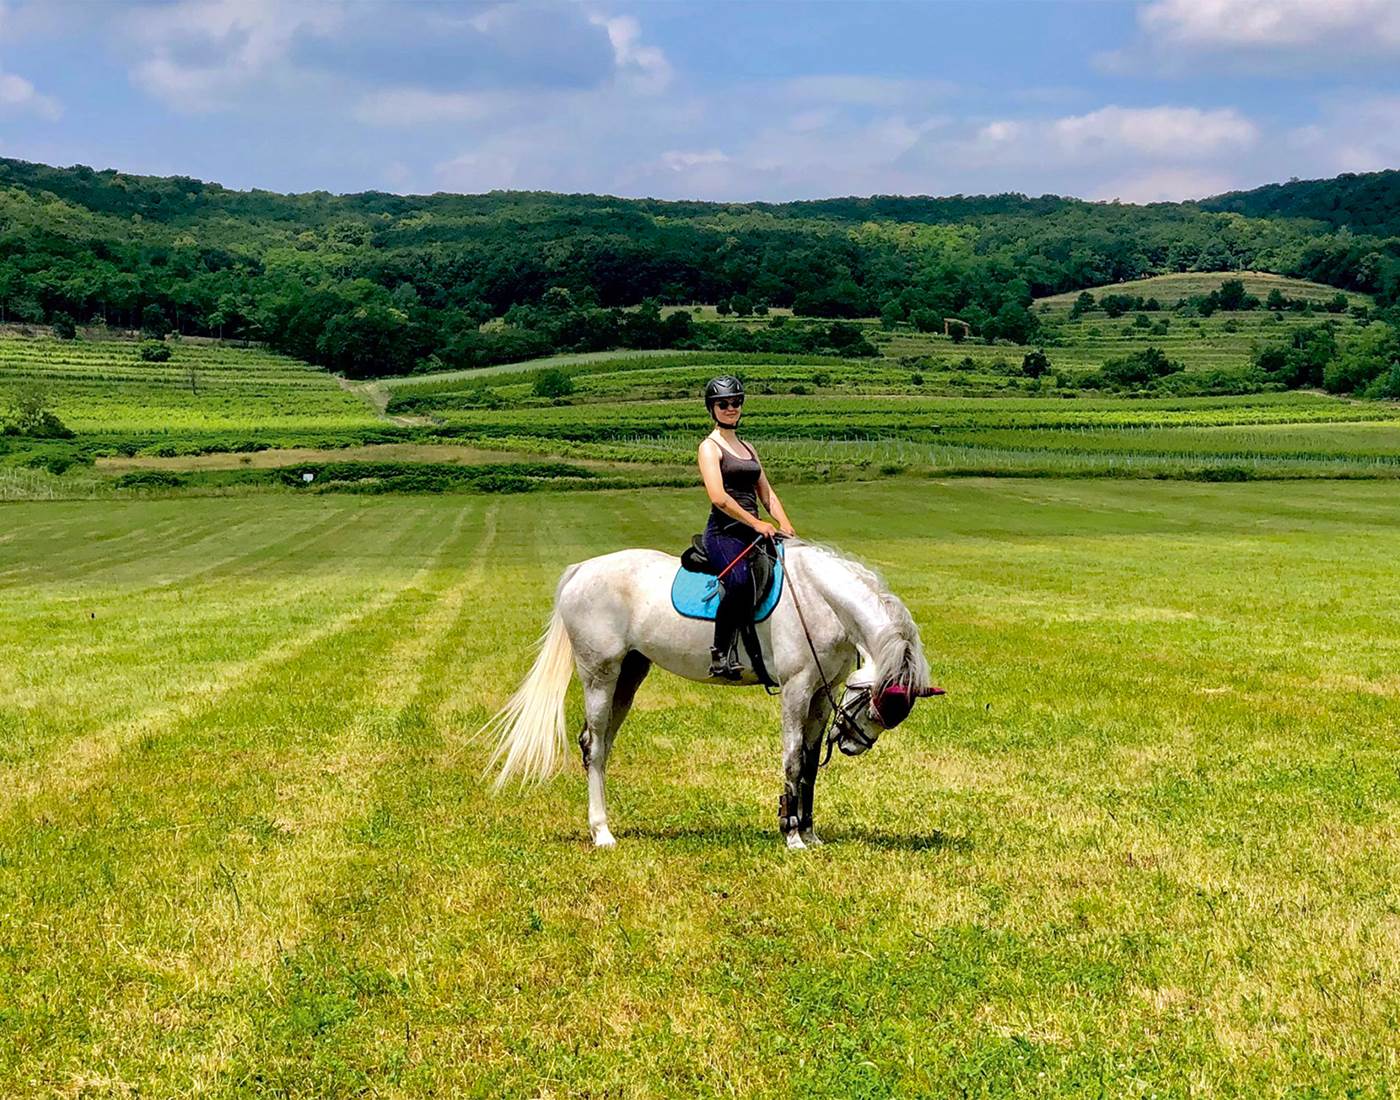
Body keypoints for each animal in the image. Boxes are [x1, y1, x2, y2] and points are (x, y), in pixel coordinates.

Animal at [482, 539, 941, 849]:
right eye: (875, 704)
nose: (852, 745)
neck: (819, 598)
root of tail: (581, 569)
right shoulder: (796, 689)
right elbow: (793, 759)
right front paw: (791, 834)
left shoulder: (819, 693)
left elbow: (810, 765)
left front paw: (810, 834)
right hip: (600, 674)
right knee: (594, 748)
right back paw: (602, 833)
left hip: (630, 675)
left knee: (602, 746)